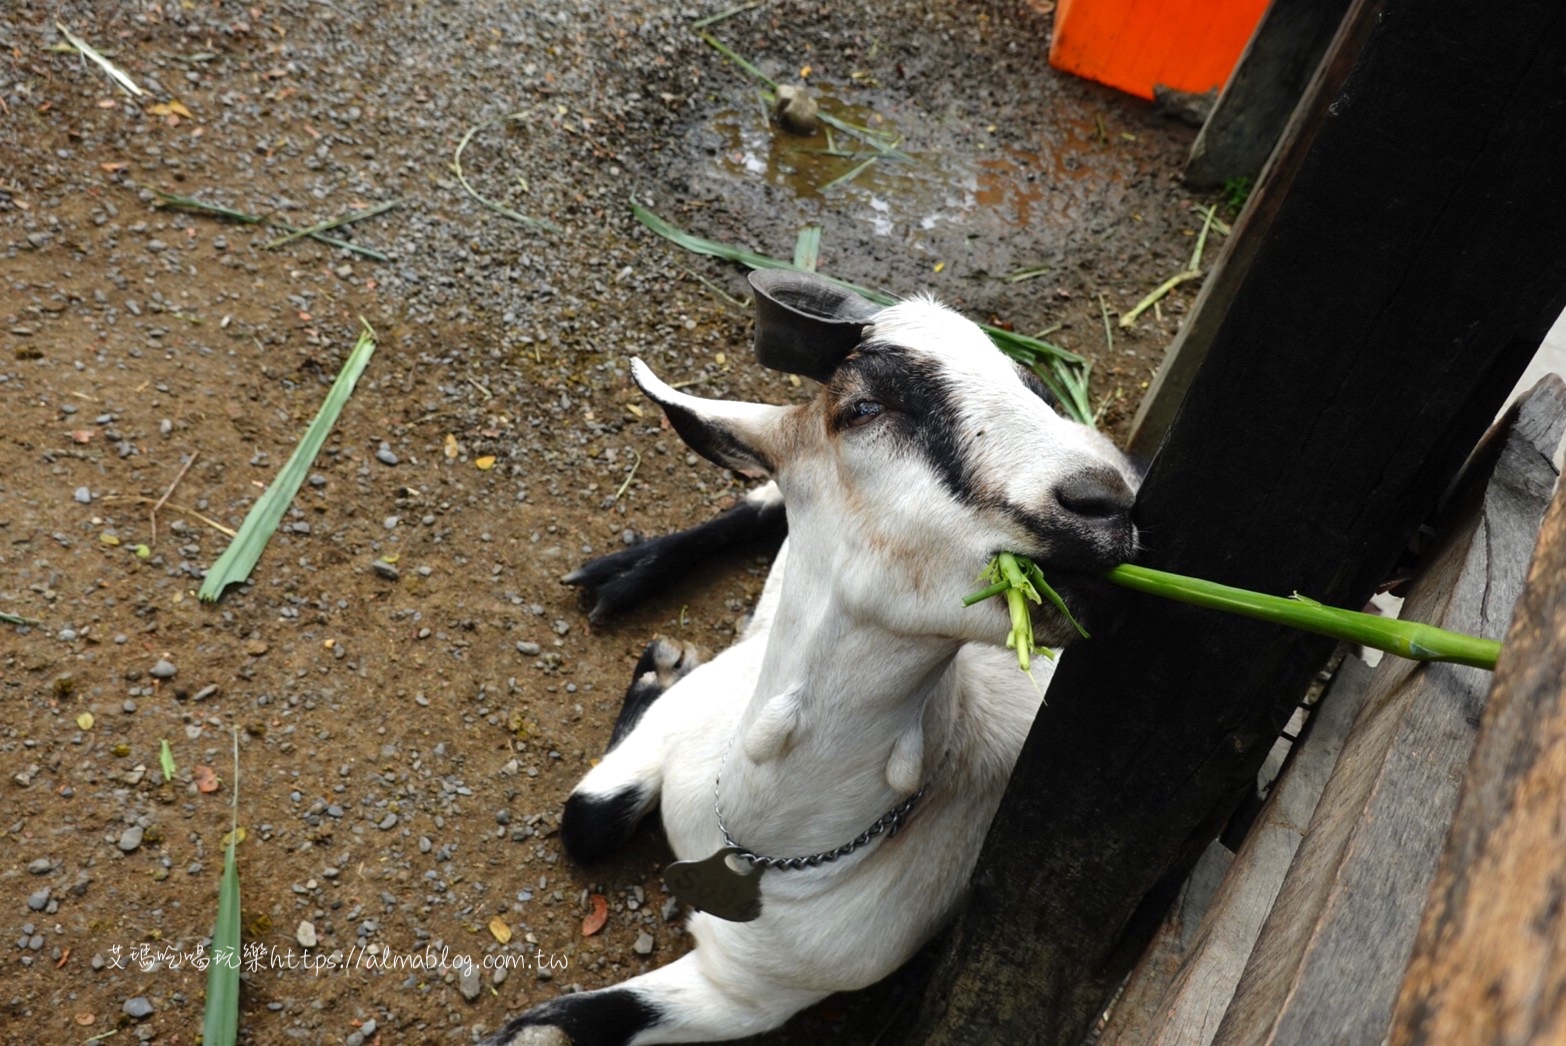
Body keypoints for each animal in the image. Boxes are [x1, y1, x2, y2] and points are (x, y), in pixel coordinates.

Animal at [488, 272, 1140, 1046]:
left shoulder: (752, 992)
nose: (1108, 501)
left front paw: (656, 668)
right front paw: (656, 670)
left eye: (1036, 390)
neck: (762, 845)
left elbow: (548, 1025)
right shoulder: (684, 722)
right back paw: (626, 574)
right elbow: (585, 819)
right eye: (862, 408)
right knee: (762, 490)